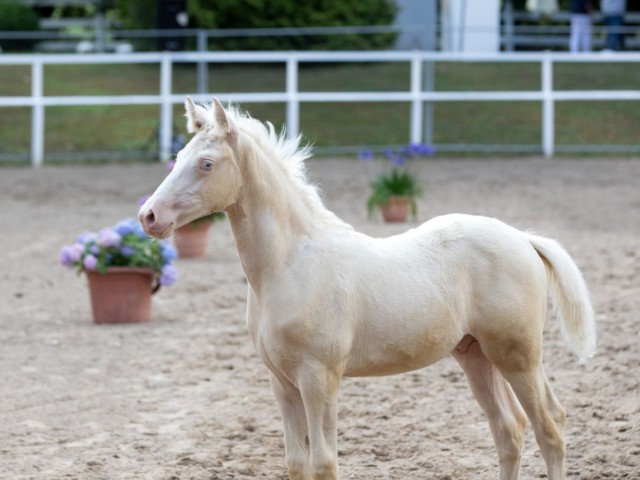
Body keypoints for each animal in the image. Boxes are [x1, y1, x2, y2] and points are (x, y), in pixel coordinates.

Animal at [139, 97, 596, 480]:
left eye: (207, 164)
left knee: (549, 426)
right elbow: (296, 464)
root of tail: (523, 238)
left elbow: (324, 463)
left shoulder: (319, 378)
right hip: (475, 354)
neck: (289, 266)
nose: (149, 216)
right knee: (509, 429)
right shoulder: (282, 382)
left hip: (517, 354)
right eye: (178, 158)